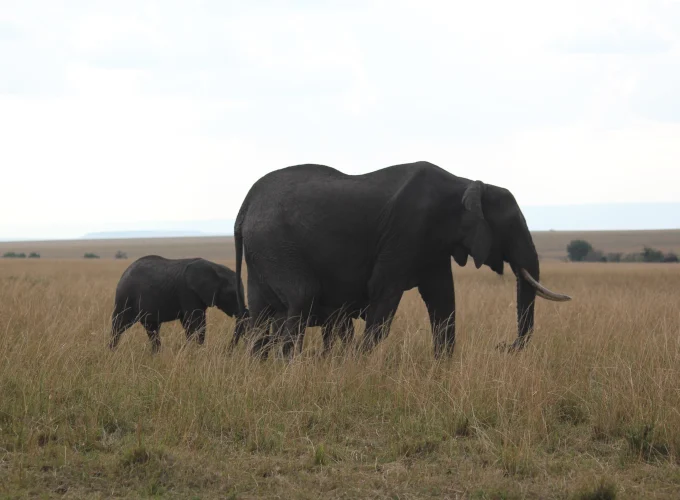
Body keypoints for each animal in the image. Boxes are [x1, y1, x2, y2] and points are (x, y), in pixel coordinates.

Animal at [109, 255, 249, 353]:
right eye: (232, 294)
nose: (228, 351)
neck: (216, 269)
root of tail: (124, 274)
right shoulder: (188, 292)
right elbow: (196, 322)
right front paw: (196, 352)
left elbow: (191, 324)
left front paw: (191, 350)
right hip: (125, 297)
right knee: (119, 325)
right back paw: (112, 352)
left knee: (152, 328)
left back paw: (156, 354)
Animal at [233, 161, 572, 359]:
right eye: (511, 226)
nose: (502, 347)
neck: (465, 184)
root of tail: (245, 204)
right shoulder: (407, 229)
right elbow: (384, 292)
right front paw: (359, 364)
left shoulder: (431, 242)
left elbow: (442, 298)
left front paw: (442, 365)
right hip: (277, 245)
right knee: (301, 297)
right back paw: (287, 365)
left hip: (263, 252)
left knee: (262, 313)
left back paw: (259, 365)